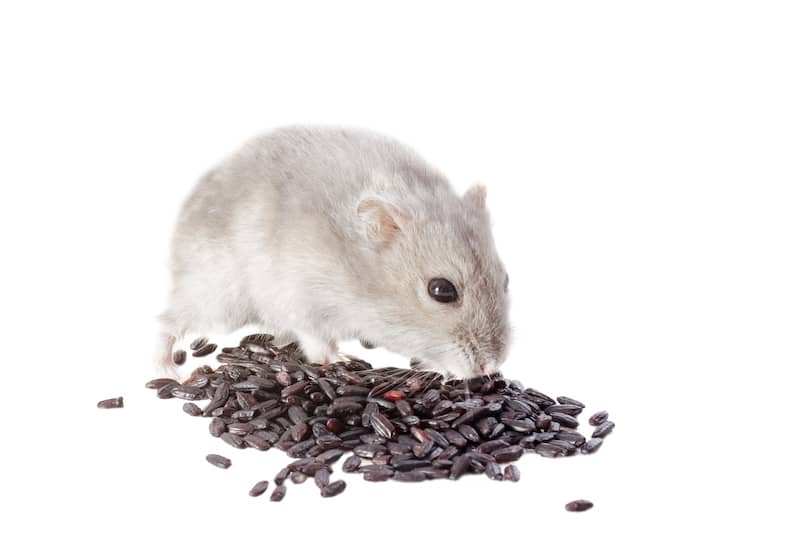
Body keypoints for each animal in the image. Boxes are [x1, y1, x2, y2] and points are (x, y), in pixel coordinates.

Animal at [158, 126, 510, 378]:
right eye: (441, 290)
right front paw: (339, 359)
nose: (491, 368)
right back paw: (171, 372)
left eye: (506, 279)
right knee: (168, 322)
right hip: (218, 297)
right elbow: (314, 337)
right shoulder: (298, 296)